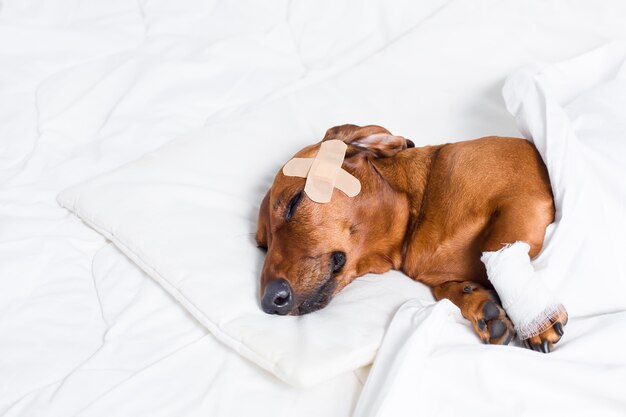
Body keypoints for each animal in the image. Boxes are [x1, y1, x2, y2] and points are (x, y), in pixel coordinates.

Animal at [256, 122, 568, 352]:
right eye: (262, 245)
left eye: (294, 202)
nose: (269, 302)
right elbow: (445, 290)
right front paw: (478, 304)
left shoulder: (524, 199)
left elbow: (497, 249)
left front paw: (537, 320)